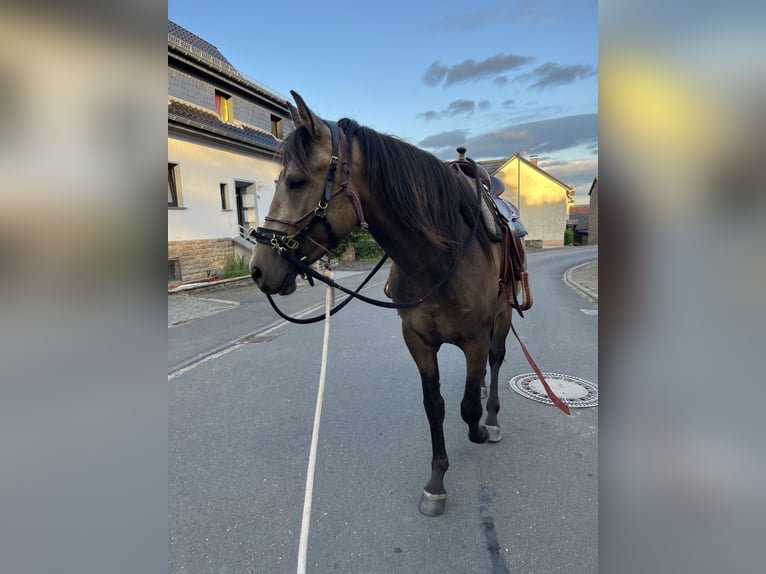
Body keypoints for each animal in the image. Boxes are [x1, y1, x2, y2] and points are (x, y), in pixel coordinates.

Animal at [250, 91, 564, 516]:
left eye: (296, 182)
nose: (258, 268)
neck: (438, 259)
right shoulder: (417, 340)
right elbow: (435, 405)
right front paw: (436, 481)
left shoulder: (475, 338)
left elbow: (467, 408)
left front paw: (481, 430)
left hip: (500, 318)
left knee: (497, 361)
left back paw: (493, 417)